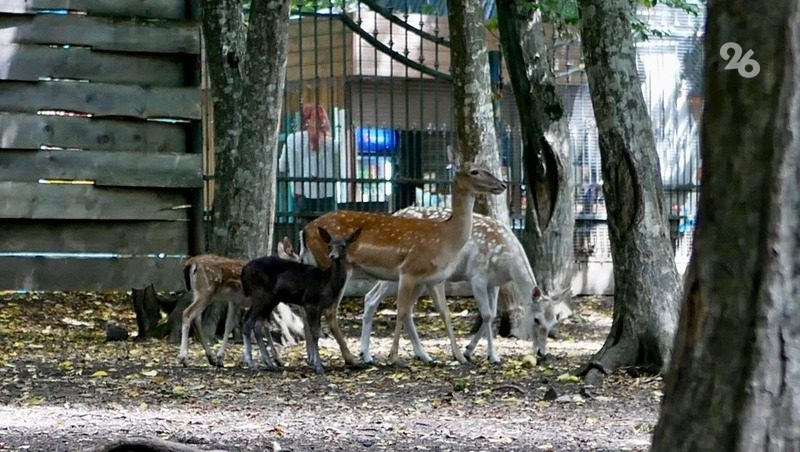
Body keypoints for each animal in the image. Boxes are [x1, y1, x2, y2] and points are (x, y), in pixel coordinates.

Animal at [304, 162, 510, 364]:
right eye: (474, 171)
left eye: (486, 168)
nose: (502, 185)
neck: (445, 237)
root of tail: (305, 230)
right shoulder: (408, 271)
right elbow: (402, 310)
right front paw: (393, 357)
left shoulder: (435, 279)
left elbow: (445, 313)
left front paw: (460, 356)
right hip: (337, 265)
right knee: (330, 311)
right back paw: (350, 358)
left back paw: (315, 358)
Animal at [360, 207, 572, 366]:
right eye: (536, 319)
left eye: (554, 321)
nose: (542, 353)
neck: (507, 263)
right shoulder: (477, 276)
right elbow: (486, 315)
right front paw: (493, 356)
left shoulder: (494, 283)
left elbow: (492, 314)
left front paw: (469, 350)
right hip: (398, 271)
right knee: (371, 297)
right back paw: (366, 354)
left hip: (419, 279)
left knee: (406, 309)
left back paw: (423, 355)